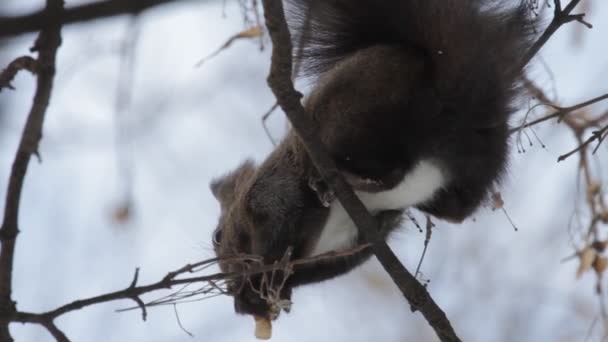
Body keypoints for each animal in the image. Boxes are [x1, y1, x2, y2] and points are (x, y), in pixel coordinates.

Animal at [210, 0, 536, 320]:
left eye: (217, 236)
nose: (232, 288)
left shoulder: (271, 194)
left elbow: (277, 229)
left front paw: (263, 280)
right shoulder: (337, 252)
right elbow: (322, 267)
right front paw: (260, 297)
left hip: (353, 116)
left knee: (382, 167)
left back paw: (335, 179)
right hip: (460, 184)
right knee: (444, 203)